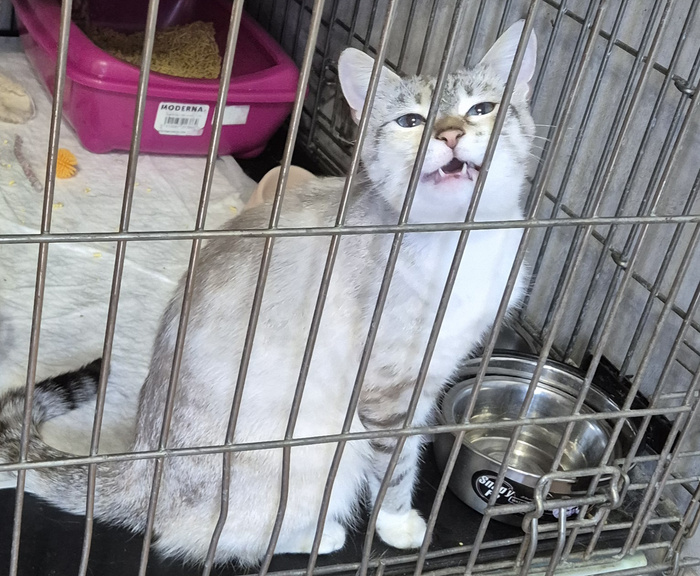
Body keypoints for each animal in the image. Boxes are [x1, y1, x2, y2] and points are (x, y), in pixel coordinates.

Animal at [0, 21, 537, 565]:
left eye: (481, 109)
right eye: (411, 120)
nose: (450, 133)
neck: (464, 242)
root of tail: (142, 466)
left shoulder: (430, 380)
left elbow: (414, 445)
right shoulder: (387, 393)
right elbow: (397, 465)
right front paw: (399, 524)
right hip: (313, 452)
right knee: (204, 536)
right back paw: (317, 535)